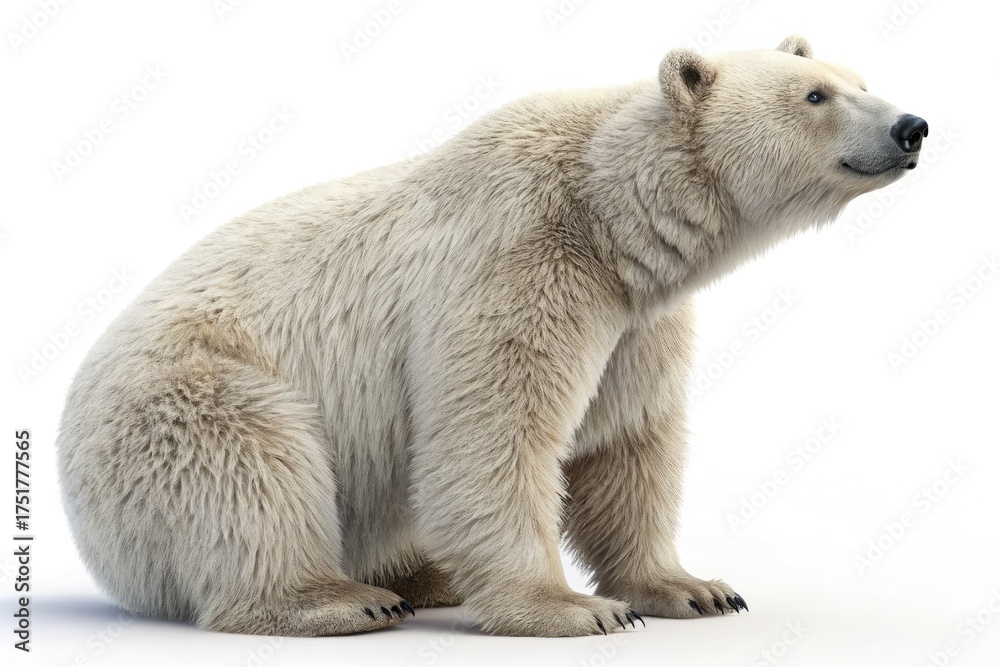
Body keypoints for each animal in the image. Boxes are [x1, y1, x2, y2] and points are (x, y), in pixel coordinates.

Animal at [57, 35, 927, 637]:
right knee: (251, 471)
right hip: (180, 405)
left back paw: (423, 574)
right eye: (815, 94)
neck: (607, 216)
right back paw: (339, 599)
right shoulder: (518, 264)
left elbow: (625, 439)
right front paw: (573, 608)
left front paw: (693, 586)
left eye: (858, 79)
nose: (912, 125)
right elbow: (494, 433)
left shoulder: (635, 317)